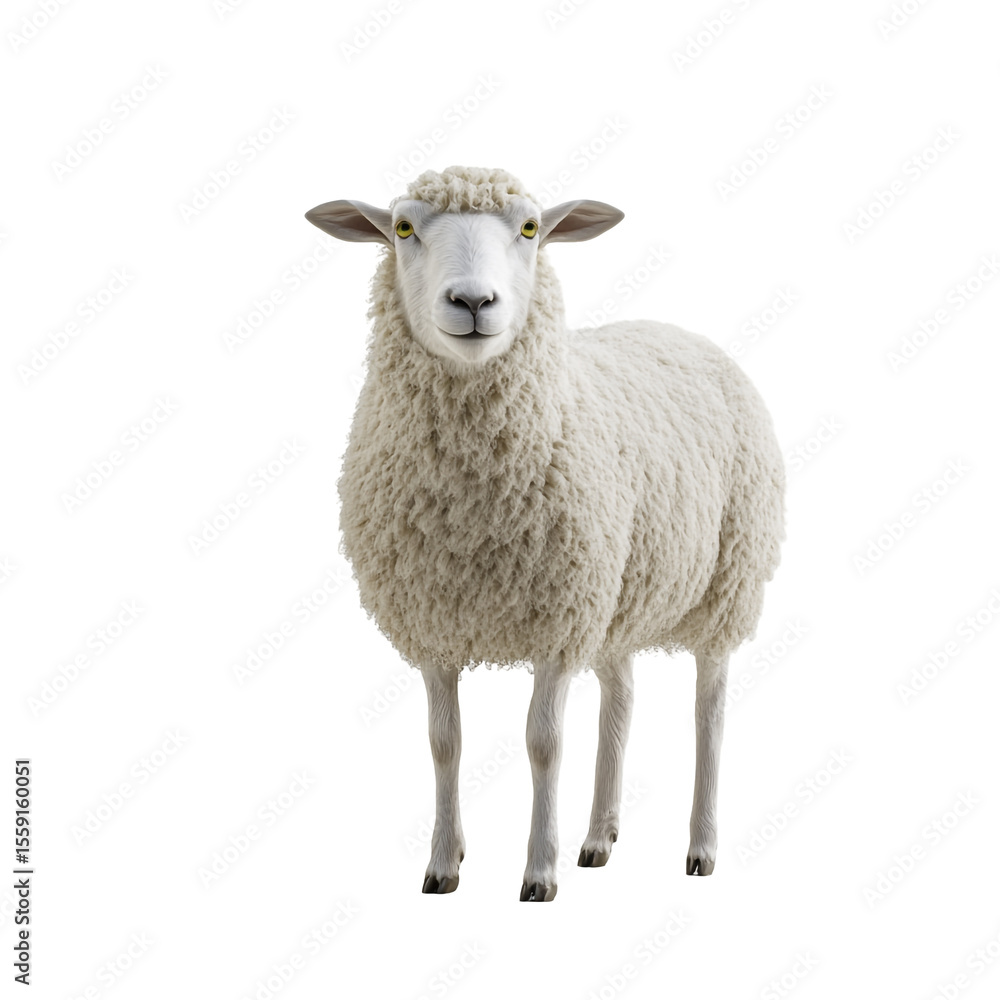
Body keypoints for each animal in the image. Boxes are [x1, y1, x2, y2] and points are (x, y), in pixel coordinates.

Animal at [305, 165, 785, 901]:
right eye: (404, 228)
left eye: (531, 228)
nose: (474, 301)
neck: (469, 508)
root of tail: (676, 329)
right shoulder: (436, 622)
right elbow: (444, 743)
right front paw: (444, 863)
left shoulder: (559, 623)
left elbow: (543, 744)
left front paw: (538, 871)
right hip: (617, 593)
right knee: (620, 700)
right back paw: (599, 838)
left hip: (727, 584)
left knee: (710, 711)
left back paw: (700, 847)